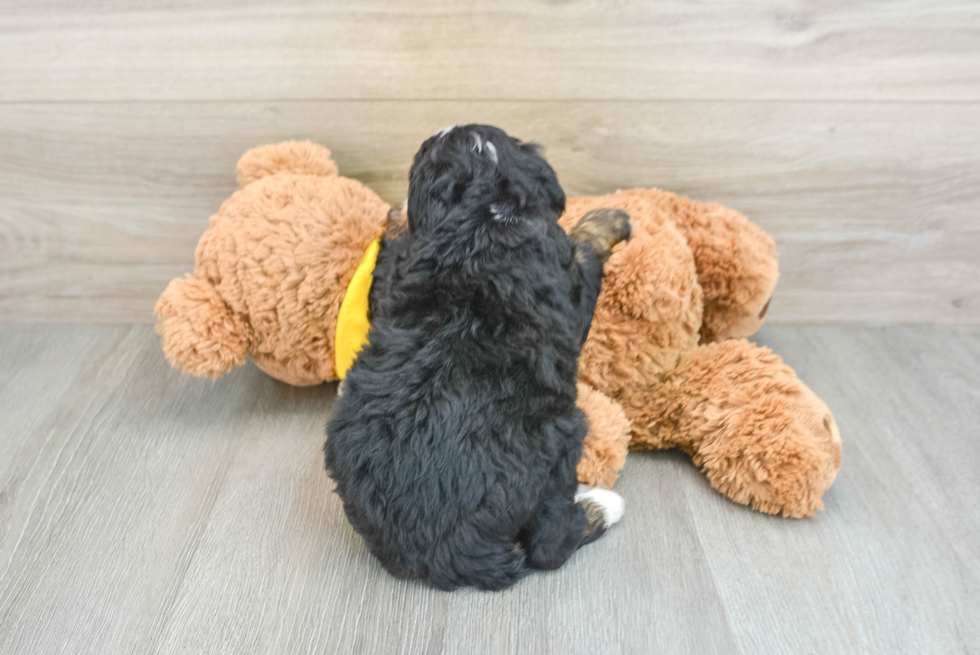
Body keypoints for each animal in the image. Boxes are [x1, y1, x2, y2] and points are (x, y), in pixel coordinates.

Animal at [326, 125, 632, 592]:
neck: (480, 213)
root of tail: (443, 550)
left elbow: (390, 261)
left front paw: (395, 216)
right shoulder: (569, 284)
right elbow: (582, 249)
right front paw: (608, 221)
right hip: (562, 438)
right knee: (549, 544)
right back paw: (603, 503)